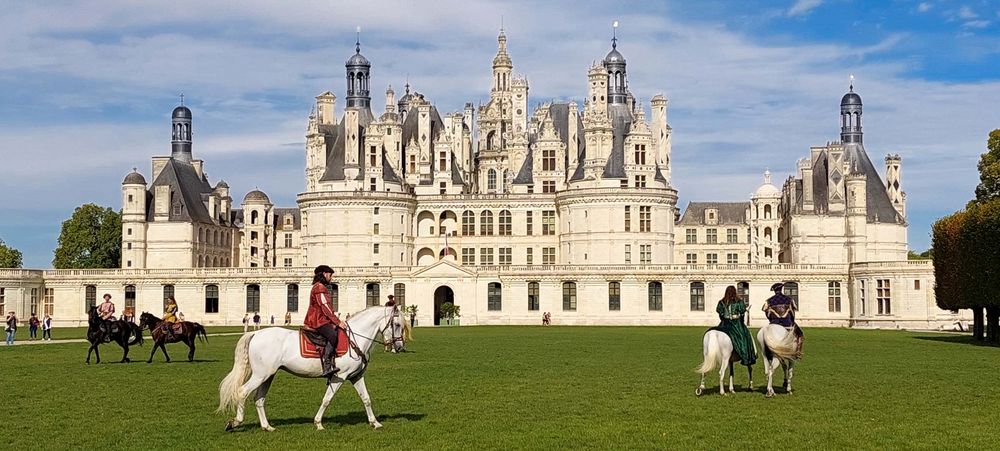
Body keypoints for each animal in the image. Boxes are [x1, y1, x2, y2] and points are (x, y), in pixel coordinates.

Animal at [217, 306, 408, 432]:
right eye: (397, 325)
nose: (399, 347)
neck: (355, 339)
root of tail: (256, 333)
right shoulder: (339, 377)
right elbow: (327, 400)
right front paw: (318, 423)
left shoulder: (356, 376)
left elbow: (366, 399)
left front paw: (375, 423)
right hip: (260, 375)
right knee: (242, 392)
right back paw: (236, 422)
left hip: (268, 376)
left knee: (259, 399)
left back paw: (267, 426)